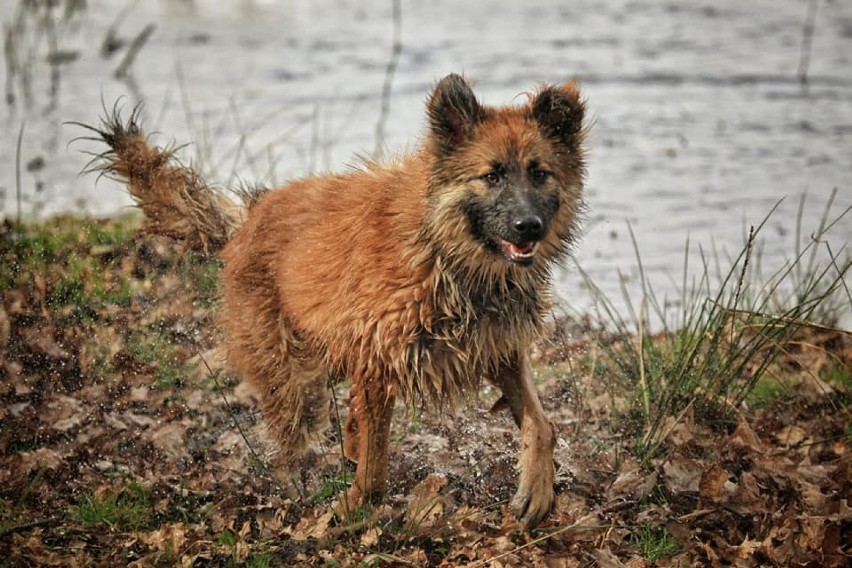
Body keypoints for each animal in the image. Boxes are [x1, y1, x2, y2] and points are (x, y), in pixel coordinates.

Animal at [91, 75, 584, 528]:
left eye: (539, 173)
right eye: (492, 175)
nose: (529, 226)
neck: (443, 253)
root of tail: (250, 218)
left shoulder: (498, 349)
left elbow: (541, 423)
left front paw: (536, 488)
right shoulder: (379, 362)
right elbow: (374, 466)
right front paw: (353, 509)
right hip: (295, 383)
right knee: (290, 447)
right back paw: (296, 491)